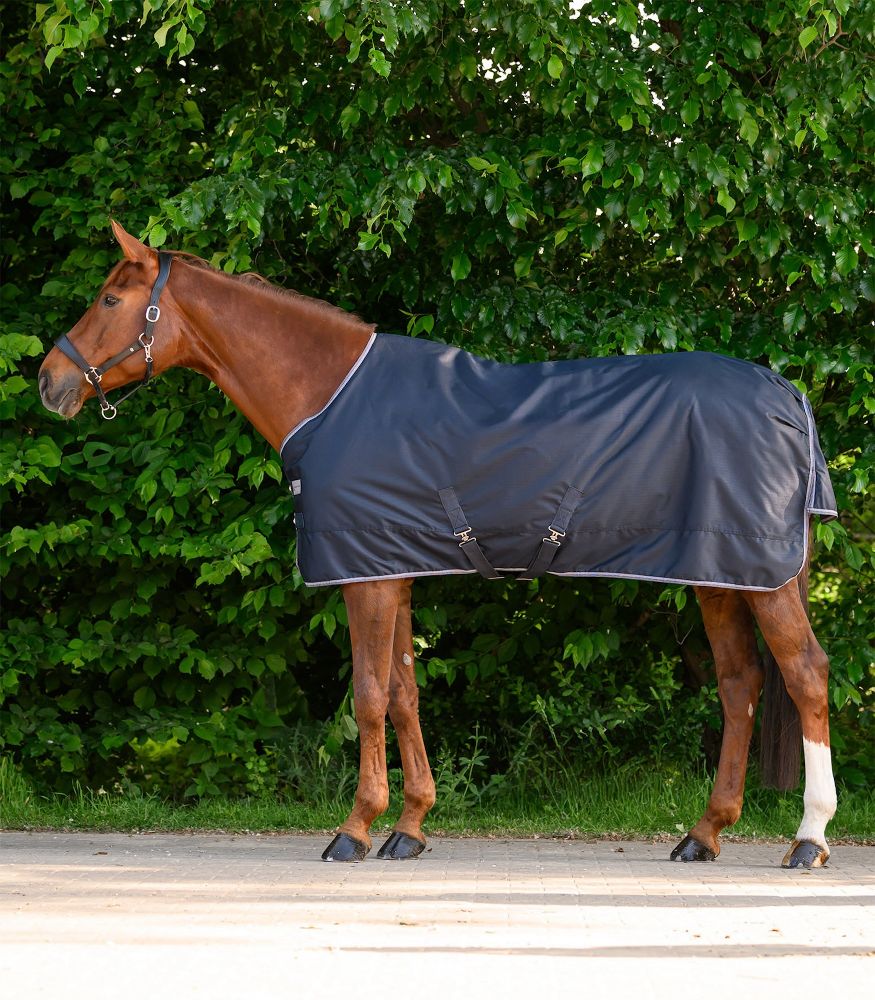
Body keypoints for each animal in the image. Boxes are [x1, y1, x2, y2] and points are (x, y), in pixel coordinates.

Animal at [38, 221, 839, 869]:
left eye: (110, 299)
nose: (49, 381)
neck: (329, 396)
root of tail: (786, 394)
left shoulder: (364, 577)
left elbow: (367, 697)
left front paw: (354, 829)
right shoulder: (392, 569)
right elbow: (402, 693)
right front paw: (410, 826)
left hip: (761, 578)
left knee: (804, 674)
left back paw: (808, 839)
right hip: (721, 575)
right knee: (739, 683)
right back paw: (704, 834)